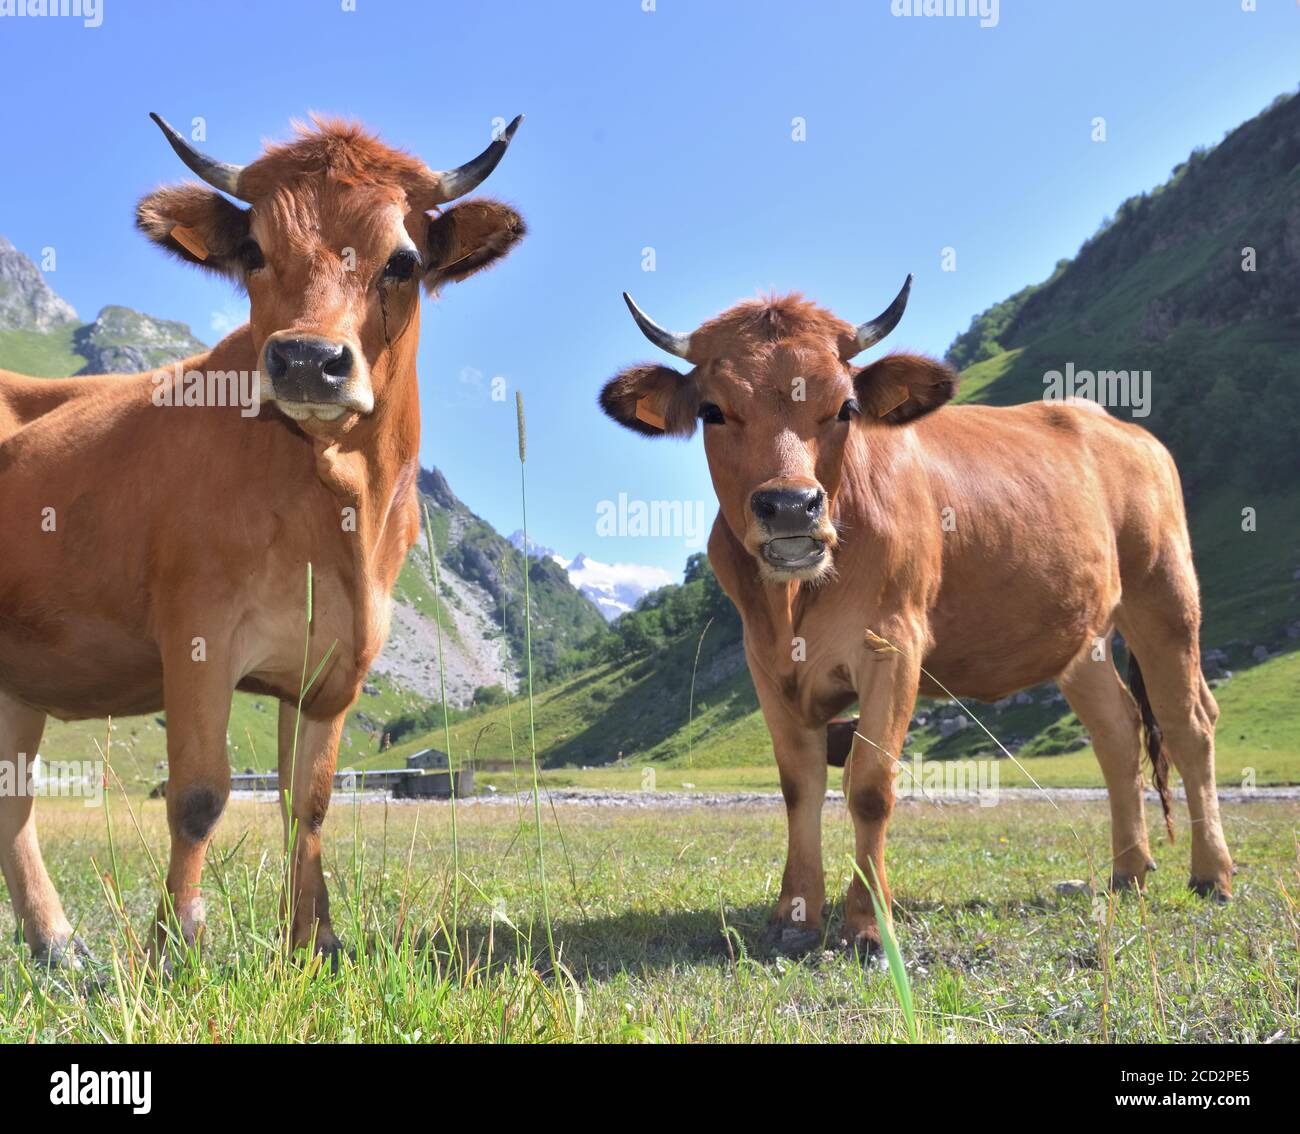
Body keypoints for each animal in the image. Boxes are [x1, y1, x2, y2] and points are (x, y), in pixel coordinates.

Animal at [0, 113, 526, 966]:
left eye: (404, 261)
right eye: (253, 252)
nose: (308, 358)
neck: (334, 507)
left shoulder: (338, 662)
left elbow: (307, 802)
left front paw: (316, 938)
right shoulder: (198, 635)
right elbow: (199, 795)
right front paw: (174, 943)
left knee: (11, 796)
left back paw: (56, 943)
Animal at [600, 280, 1233, 955]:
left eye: (846, 407)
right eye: (714, 411)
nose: (792, 506)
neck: (795, 602)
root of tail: (1123, 429)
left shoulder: (895, 644)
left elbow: (870, 787)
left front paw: (866, 925)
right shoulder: (765, 661)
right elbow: (798, 787)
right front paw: (794, 917)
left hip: (1164, 594)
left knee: (1188, 723)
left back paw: (1211, 874)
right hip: (1080, 637)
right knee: (1117, 729)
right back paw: (1129, 871)